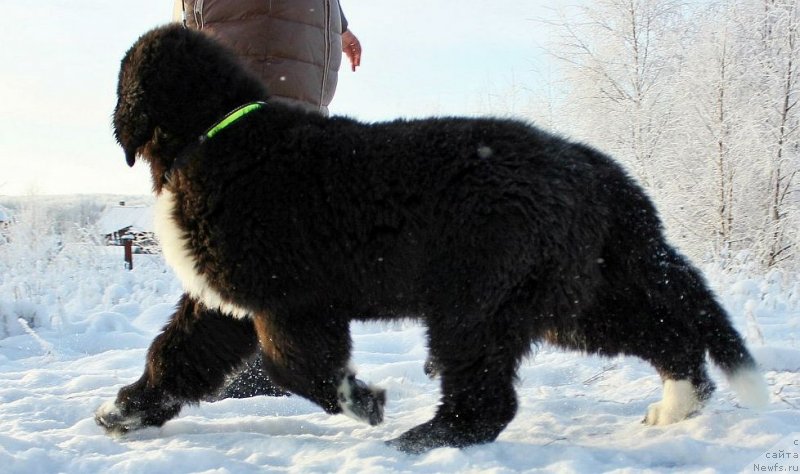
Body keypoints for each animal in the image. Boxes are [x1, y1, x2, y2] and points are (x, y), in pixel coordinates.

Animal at [95, 25, 768, 452]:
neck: (219, 135)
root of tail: (591, 166)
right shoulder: (225, 303)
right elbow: (176, 356)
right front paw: (124, 411)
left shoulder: (289, 300)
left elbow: (297, 366)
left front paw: (360, 400)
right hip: (569, 299)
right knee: (667, 332)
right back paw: (681, 402)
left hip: (476, 299)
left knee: (487, 400)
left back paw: (419, 442)